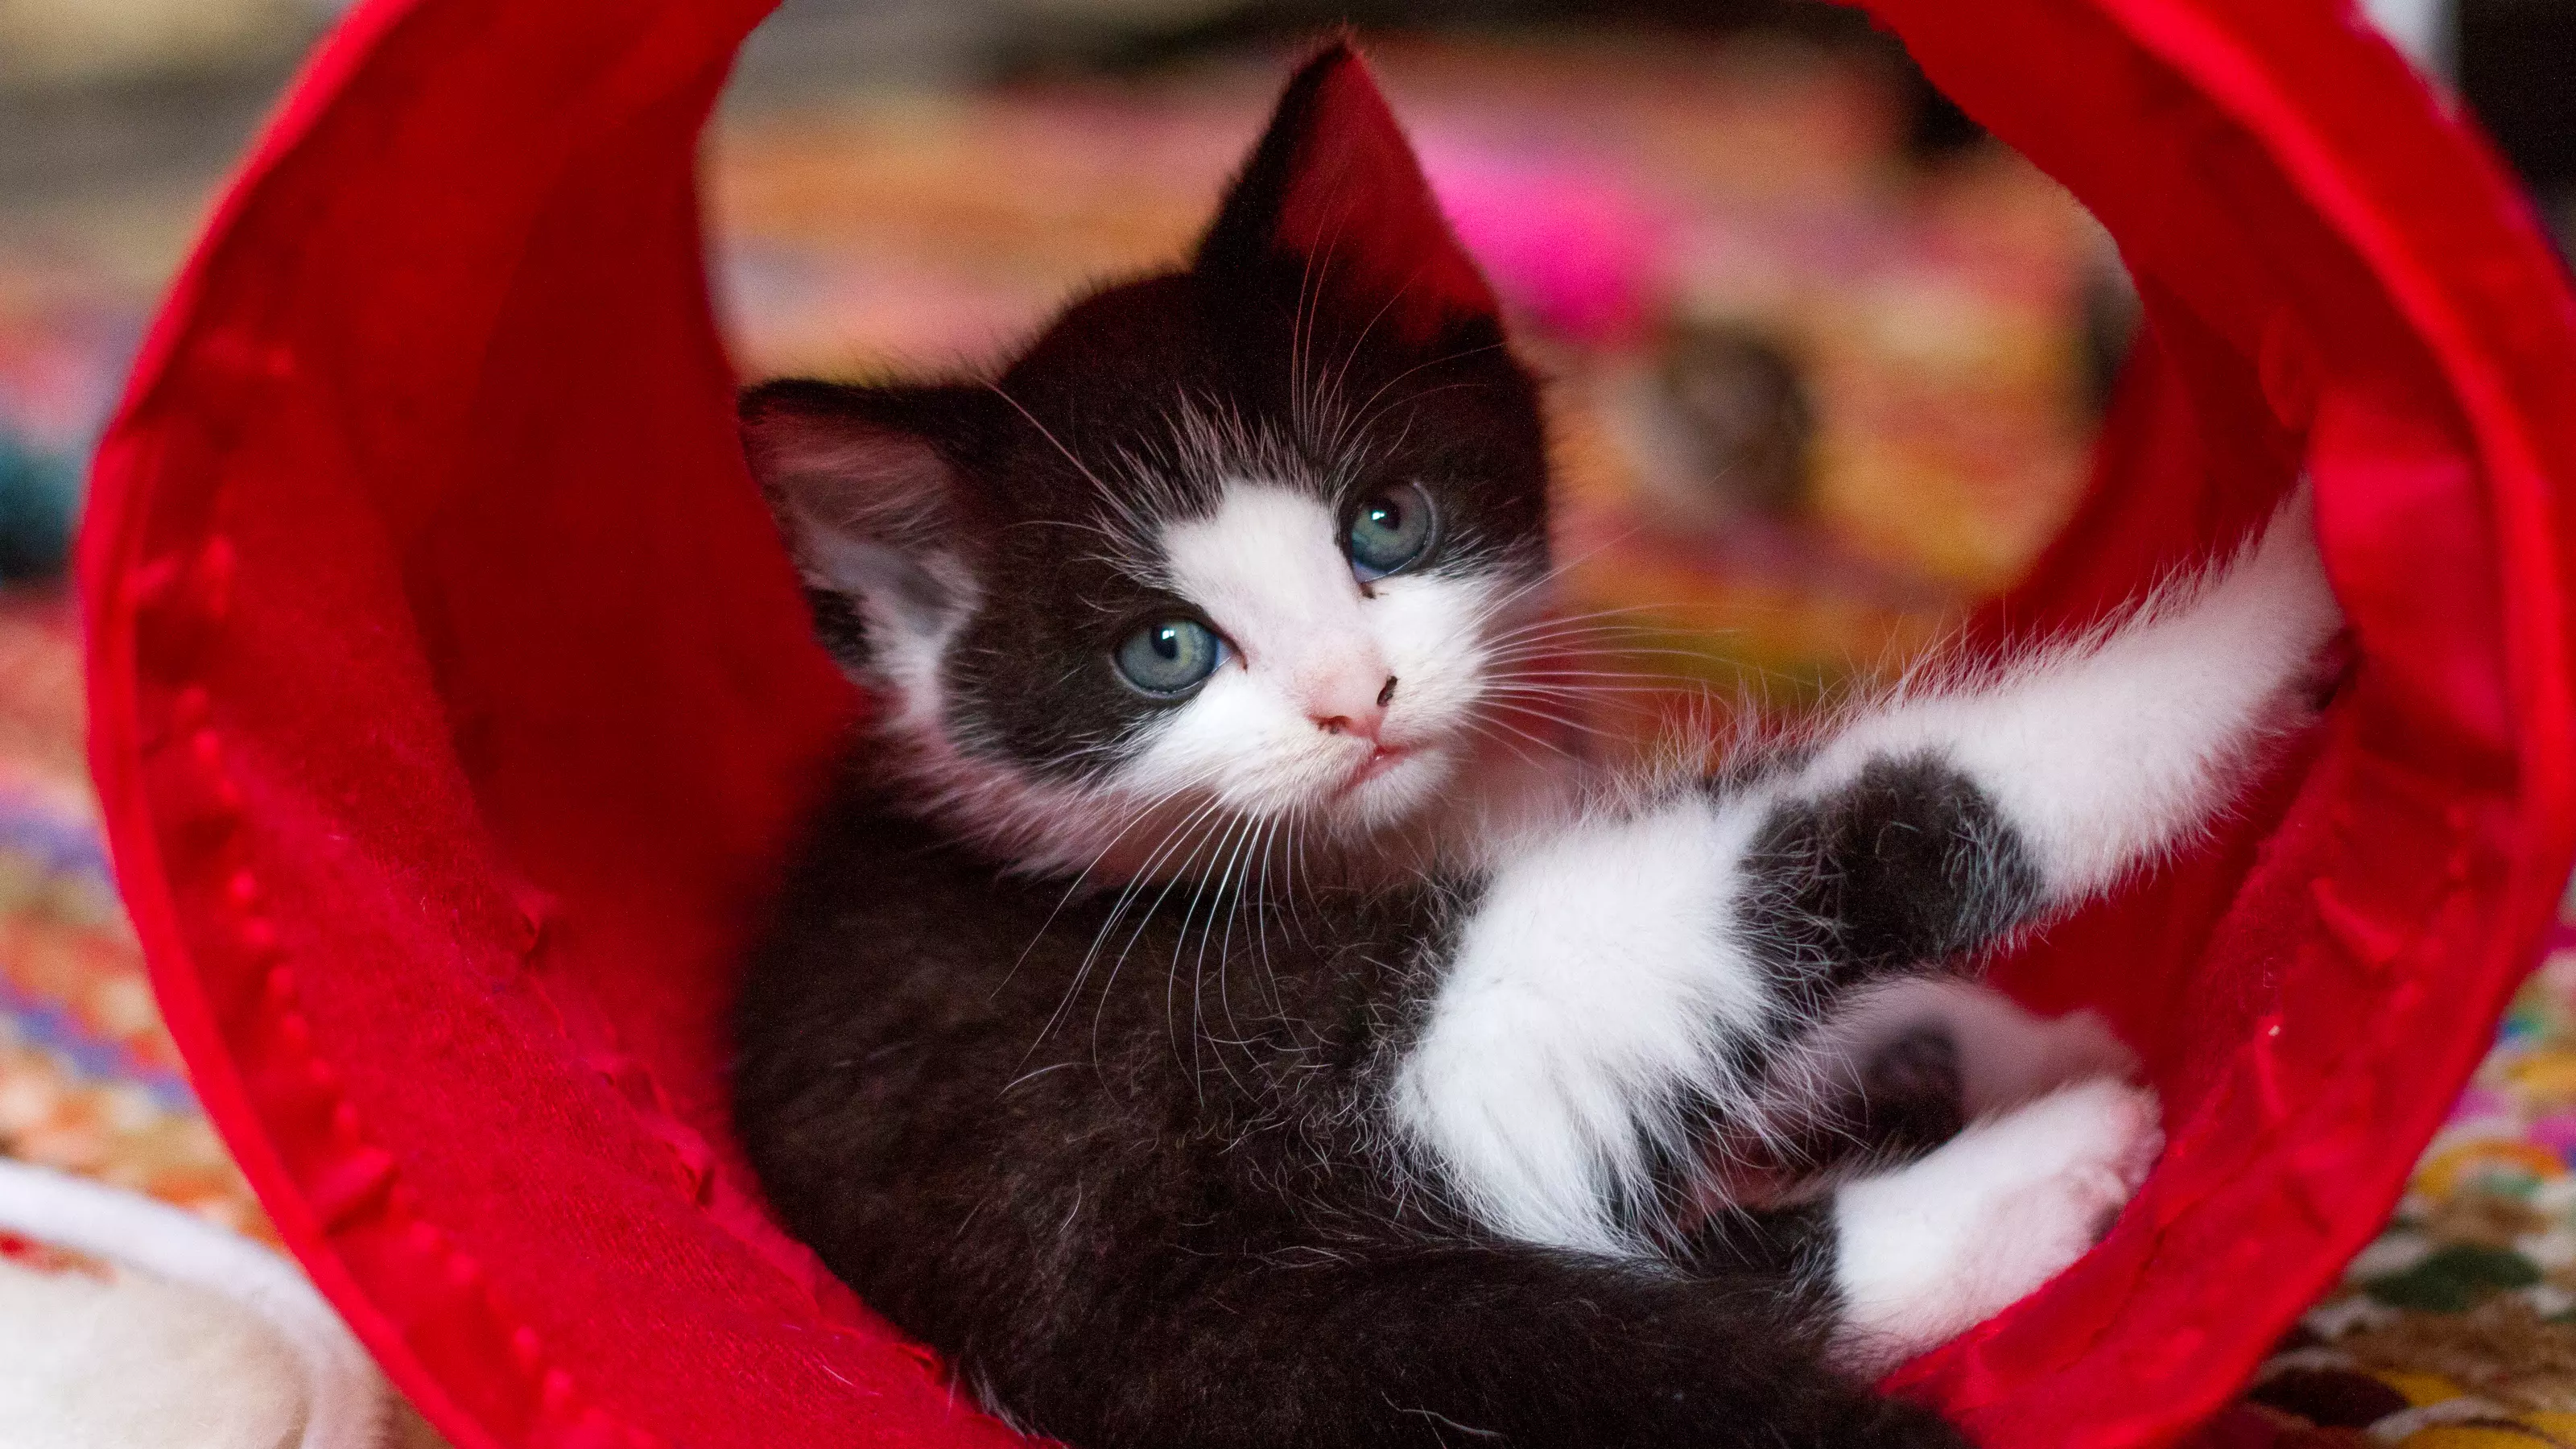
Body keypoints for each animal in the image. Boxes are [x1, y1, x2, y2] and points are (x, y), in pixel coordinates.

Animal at [726, 45, 2339, 1443]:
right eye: (1165, 652)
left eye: (1385, 523)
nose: (1353, 695)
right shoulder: (1346, 1048)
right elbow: (1890, 820)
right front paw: (2300, 565)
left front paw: (2000, 1029)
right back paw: (2058, 1163)